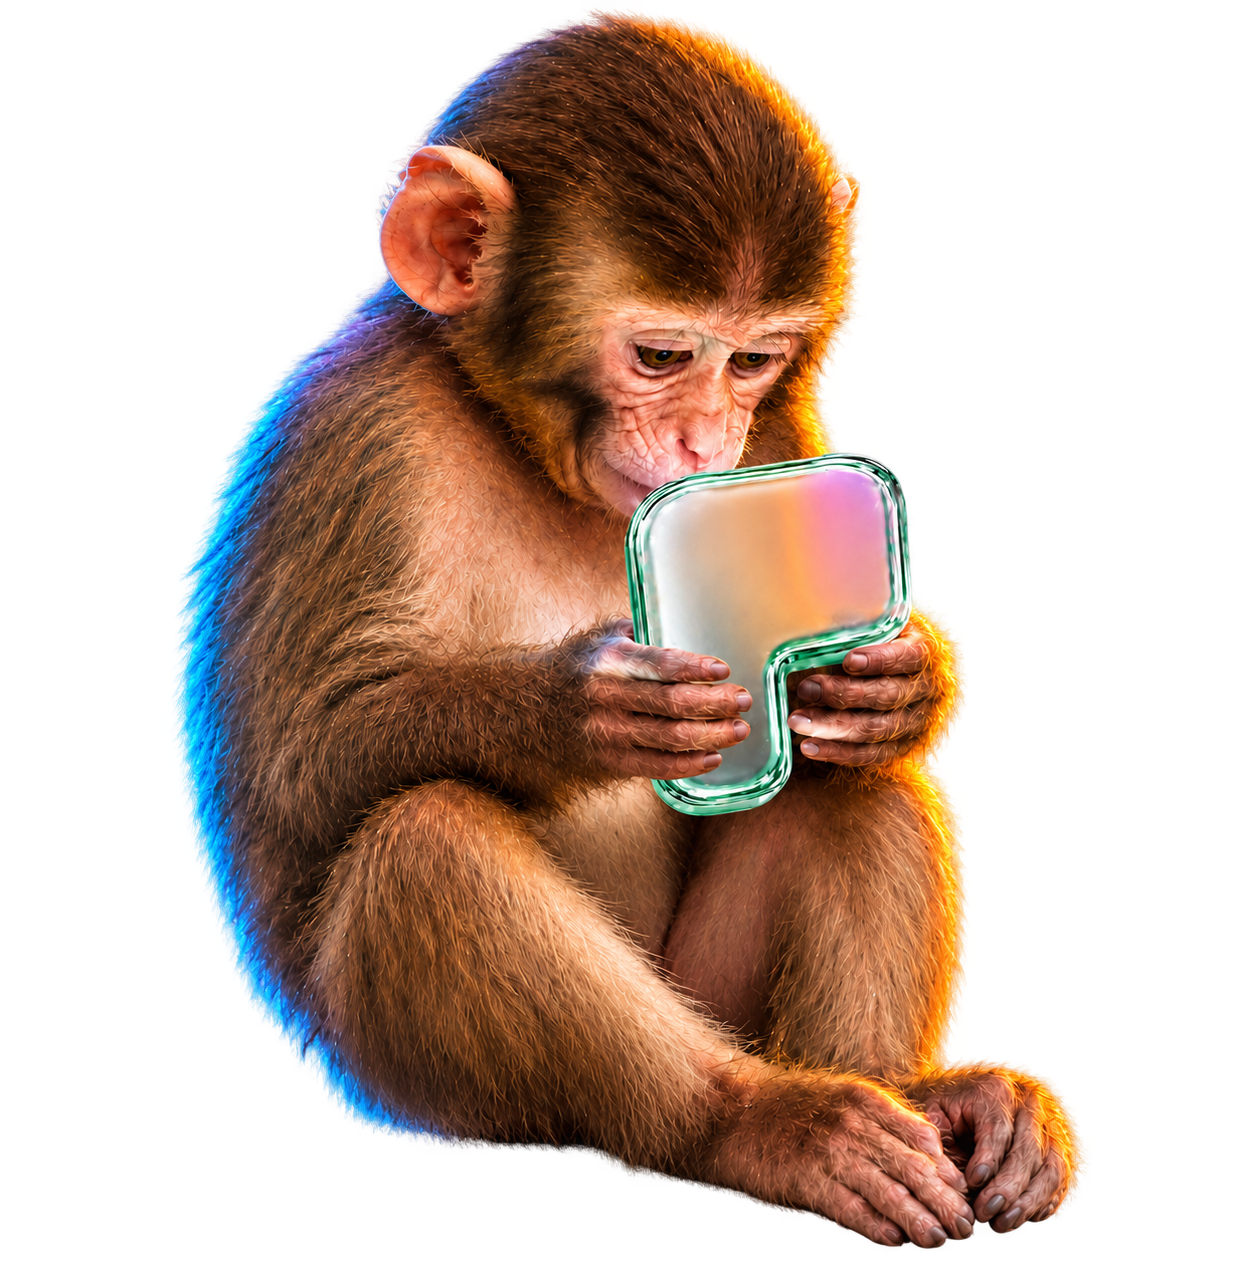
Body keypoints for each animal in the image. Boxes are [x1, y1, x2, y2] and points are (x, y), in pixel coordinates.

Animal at [168, 8, 1090, 1247]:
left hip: (711, 987)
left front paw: (900, 678)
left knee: (850, 782)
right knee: (427, 840)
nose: (705, 438)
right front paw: (575, 706)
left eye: (751, 361)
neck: (514, 435)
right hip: (424, 1092)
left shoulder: (777, 439)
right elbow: (293, 772)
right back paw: (744, 1126)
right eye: (660, 356)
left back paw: (919, 1098)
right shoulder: (345, 435)